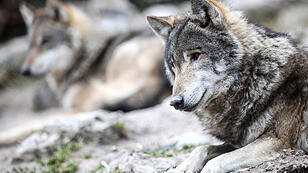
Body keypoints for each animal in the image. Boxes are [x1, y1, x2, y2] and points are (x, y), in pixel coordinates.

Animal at [19, 0, 168, 112]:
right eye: (30, 45)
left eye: (45, 42)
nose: (24, 71)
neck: (83, 58)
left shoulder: (78, 107)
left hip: (121, 55)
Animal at [147, 0, 308, 172]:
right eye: (173, 65)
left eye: (195, 55)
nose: (175, 101)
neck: (252, 78)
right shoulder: (240, 142)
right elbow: (201, 149)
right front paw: (181, 168)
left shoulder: (277, 140)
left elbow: (215, 162)